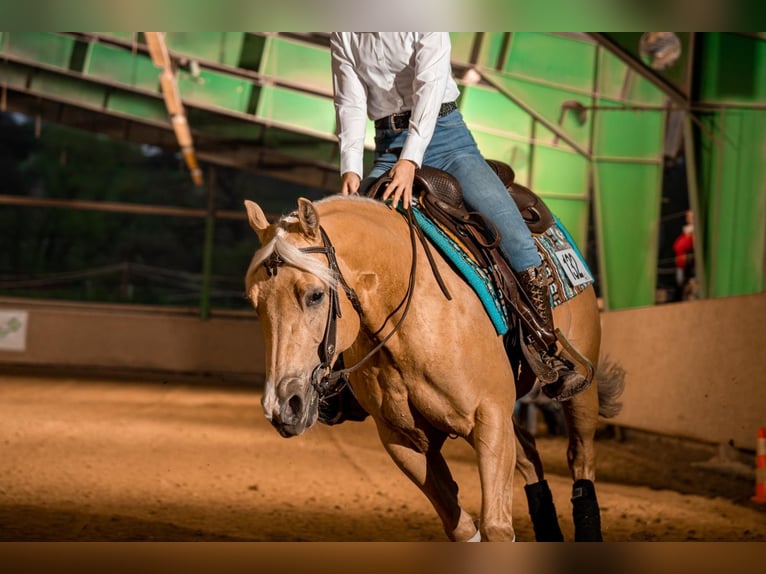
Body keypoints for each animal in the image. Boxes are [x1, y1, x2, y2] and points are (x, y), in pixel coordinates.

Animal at [243, 196, 628, 544]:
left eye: (315, 295)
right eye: (255, 302)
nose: (283, 406)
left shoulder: (489, 417)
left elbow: (497, 529)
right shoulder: (404, 439)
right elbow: (462, 528)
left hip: (578, 392)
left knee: (580, 459)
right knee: (531, 456)